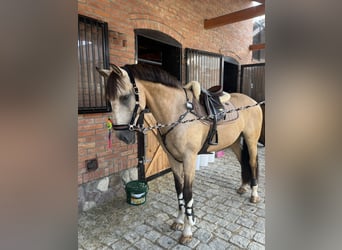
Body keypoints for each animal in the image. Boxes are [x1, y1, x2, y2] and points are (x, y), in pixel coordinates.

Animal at [97, 63, 264, 244]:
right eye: (108, 98)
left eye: (125, 97)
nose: (122, 136)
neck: (177, 113)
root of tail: (253, 102)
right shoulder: (173, 159)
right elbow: (179, 190)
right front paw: (178, 221)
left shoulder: (189, 159)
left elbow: (187, 192)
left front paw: (187, 231)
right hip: (234, 142)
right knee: (242, 161)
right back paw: (243, 187)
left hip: (251, 140)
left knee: (253, 163)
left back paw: (254, 194)